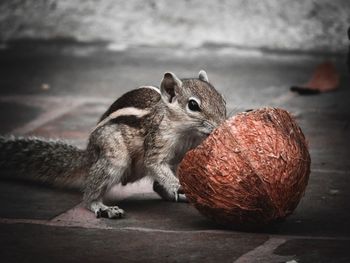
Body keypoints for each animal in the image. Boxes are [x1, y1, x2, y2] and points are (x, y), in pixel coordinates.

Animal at [0, 71, 227, 220]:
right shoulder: (157, 142)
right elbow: (155, 164)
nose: (221, 125)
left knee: (155, 185)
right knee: (89, 195)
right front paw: (179, 185)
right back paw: (101, 207)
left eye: (222, 99)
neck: (187, 133)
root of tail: (90, 154)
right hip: (114, 157)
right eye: (193, 105)